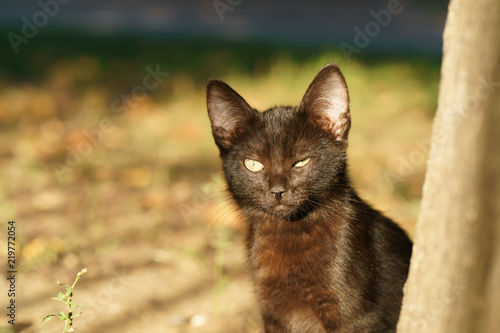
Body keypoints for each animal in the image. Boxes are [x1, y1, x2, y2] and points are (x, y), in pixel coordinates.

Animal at [205, 63, 412, 330]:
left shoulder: (356, 318)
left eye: (301, 162)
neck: (287, 233)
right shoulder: (272, 314)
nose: (277, 190)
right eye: (253, 165)